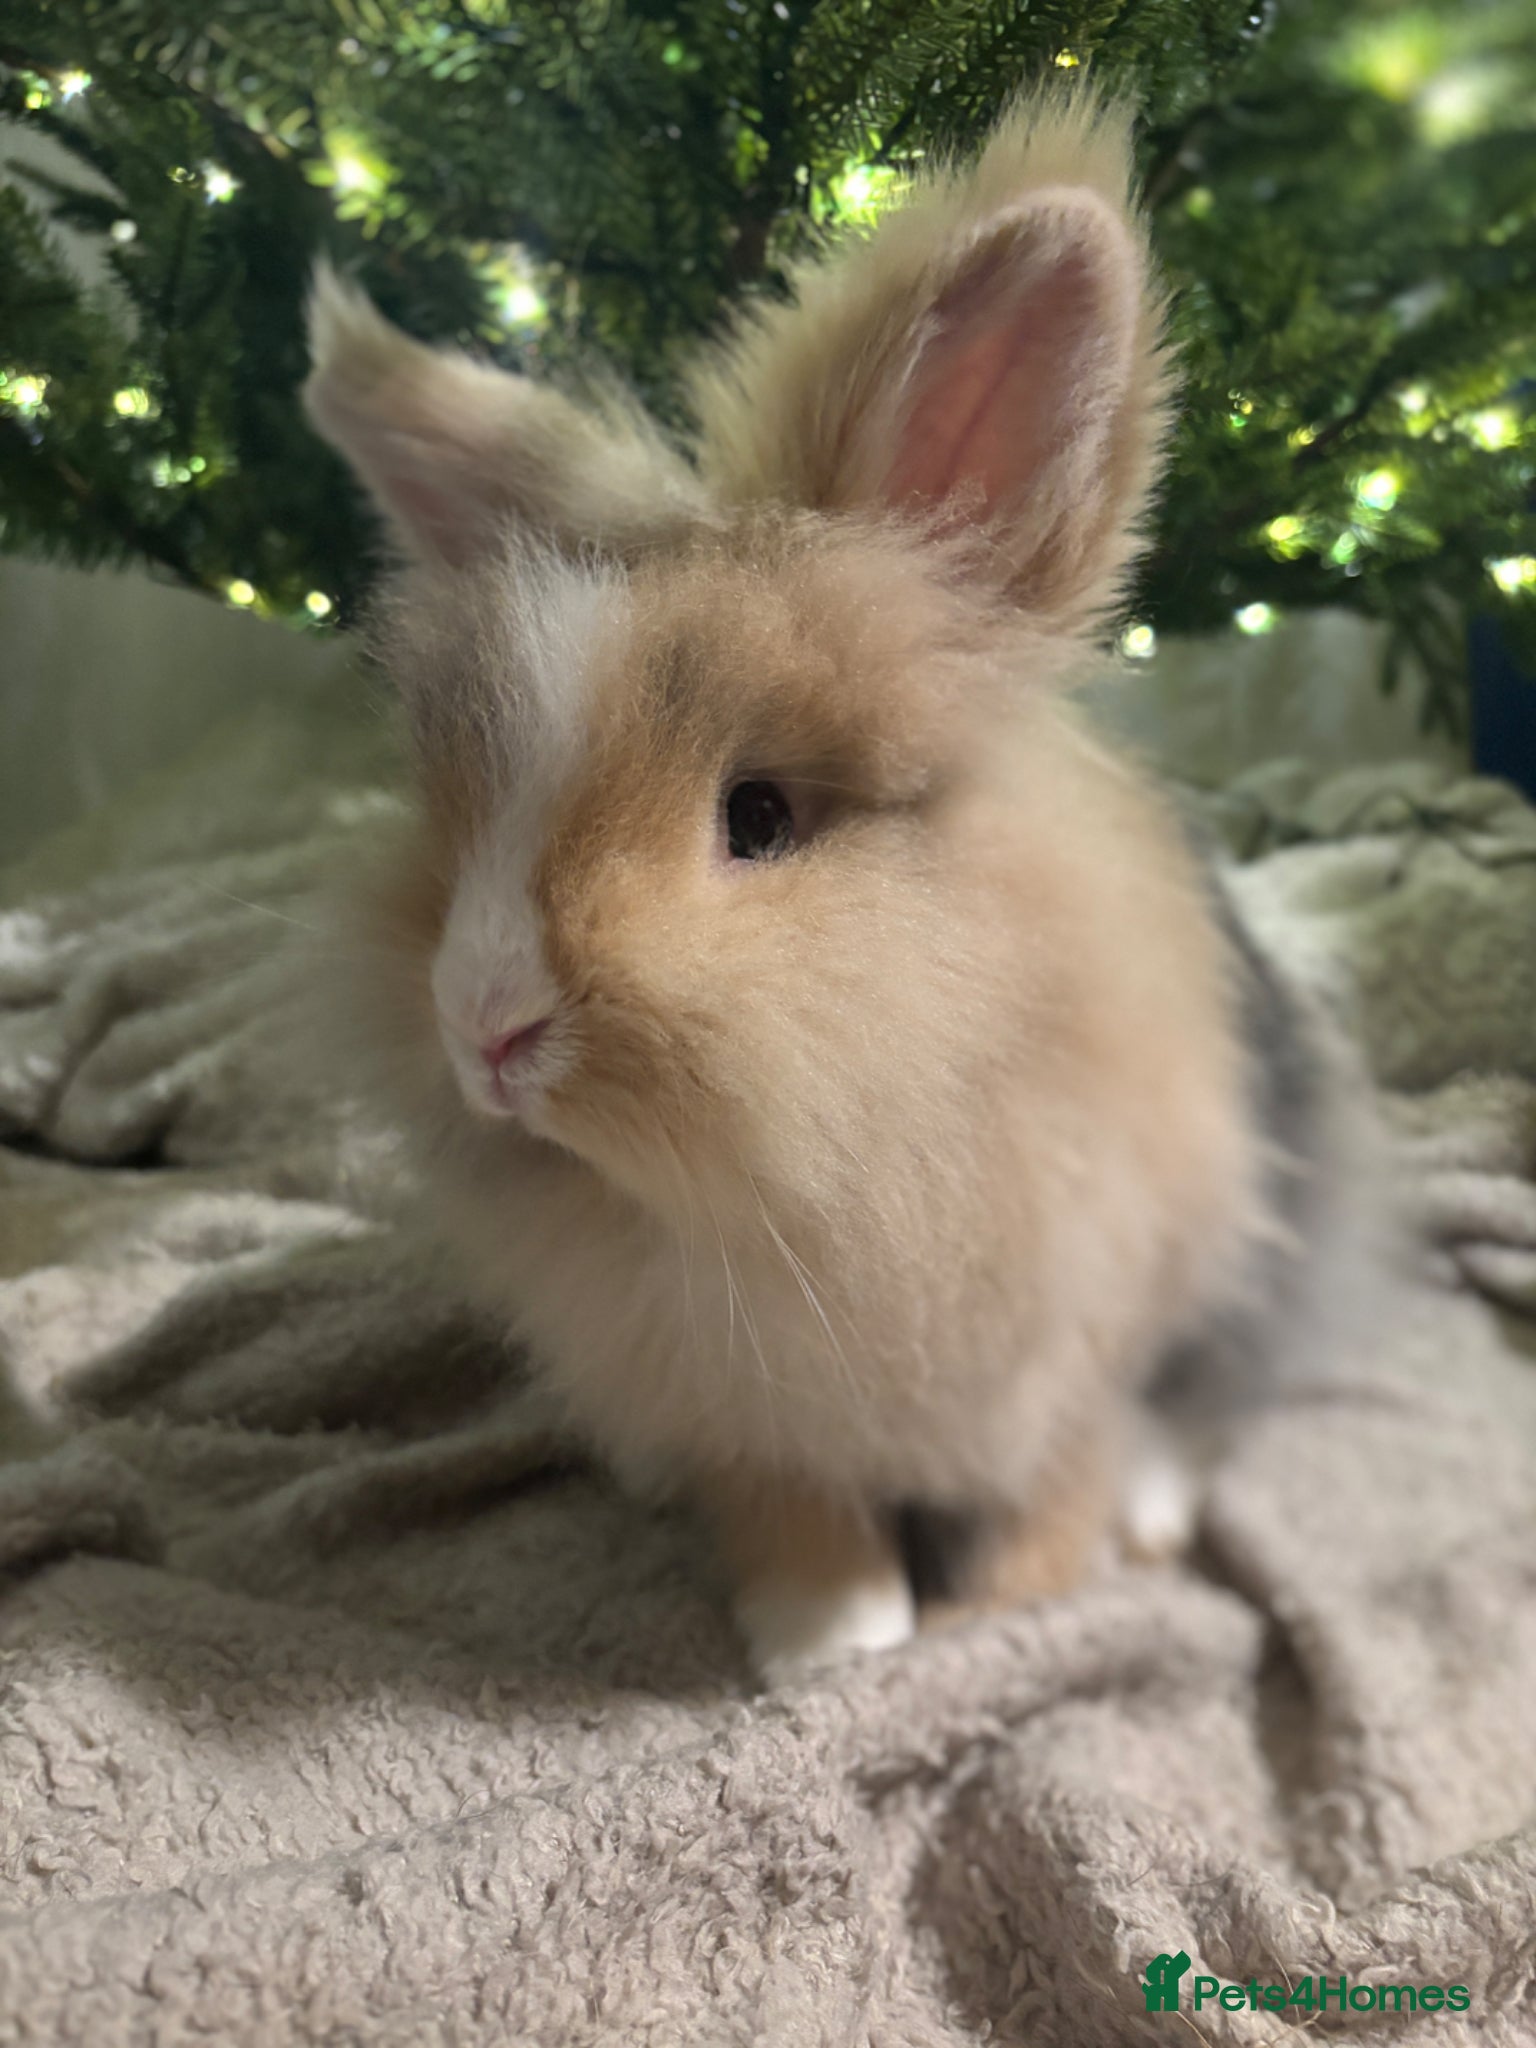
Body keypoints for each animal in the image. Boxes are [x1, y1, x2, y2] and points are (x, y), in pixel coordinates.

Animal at [302, 89, 1346, 1683]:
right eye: (457, 802)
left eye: (763, 815)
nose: (486, 1031)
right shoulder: (745, 1405)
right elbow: (793, 1504)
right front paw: (829, 1639)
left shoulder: (1075, 1340)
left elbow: (1063, 1477)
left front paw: (1000, 1612)